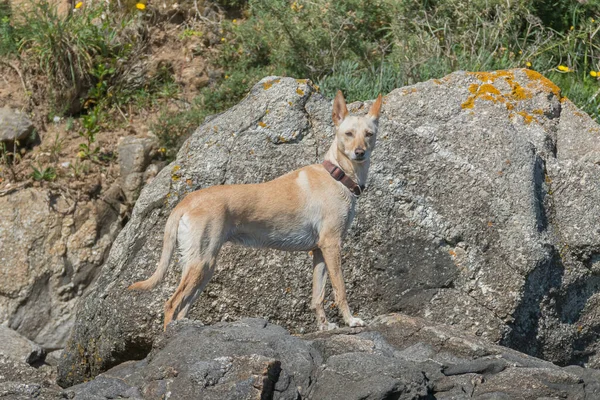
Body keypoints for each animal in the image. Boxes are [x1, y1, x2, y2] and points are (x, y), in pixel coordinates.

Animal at [129, 90, 384, 332]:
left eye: (369, 134)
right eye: (348, 134)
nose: (360, 152)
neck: (338, 175)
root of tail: (185, 201)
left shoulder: (320, 251)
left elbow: (318, 295)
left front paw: (323, 326)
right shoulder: (332, 245)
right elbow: (340, 290)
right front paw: (350, 321)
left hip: (204, 266)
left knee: (182, 308)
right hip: (201, 262)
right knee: (171, 304)